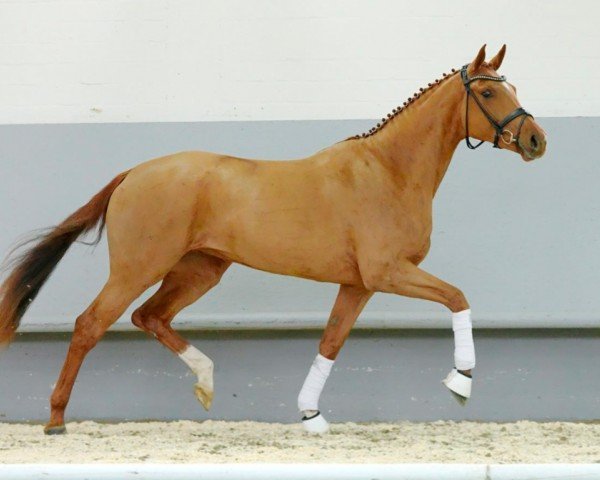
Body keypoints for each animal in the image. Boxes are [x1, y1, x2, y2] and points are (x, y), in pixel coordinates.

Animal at [0, 46, 544, 436]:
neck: (388, 171)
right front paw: (461, 382)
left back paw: (206, 383)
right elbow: (457, 297)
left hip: (200, 269)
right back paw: (56, 420)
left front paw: (311, 417)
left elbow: (331, 342)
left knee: (149, 317)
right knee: (91, 324)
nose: (537, 140)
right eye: (489, 94)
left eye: (514, 86)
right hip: (139, 267)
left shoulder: (359, 283)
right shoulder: (388, 272)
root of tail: (133, 173)